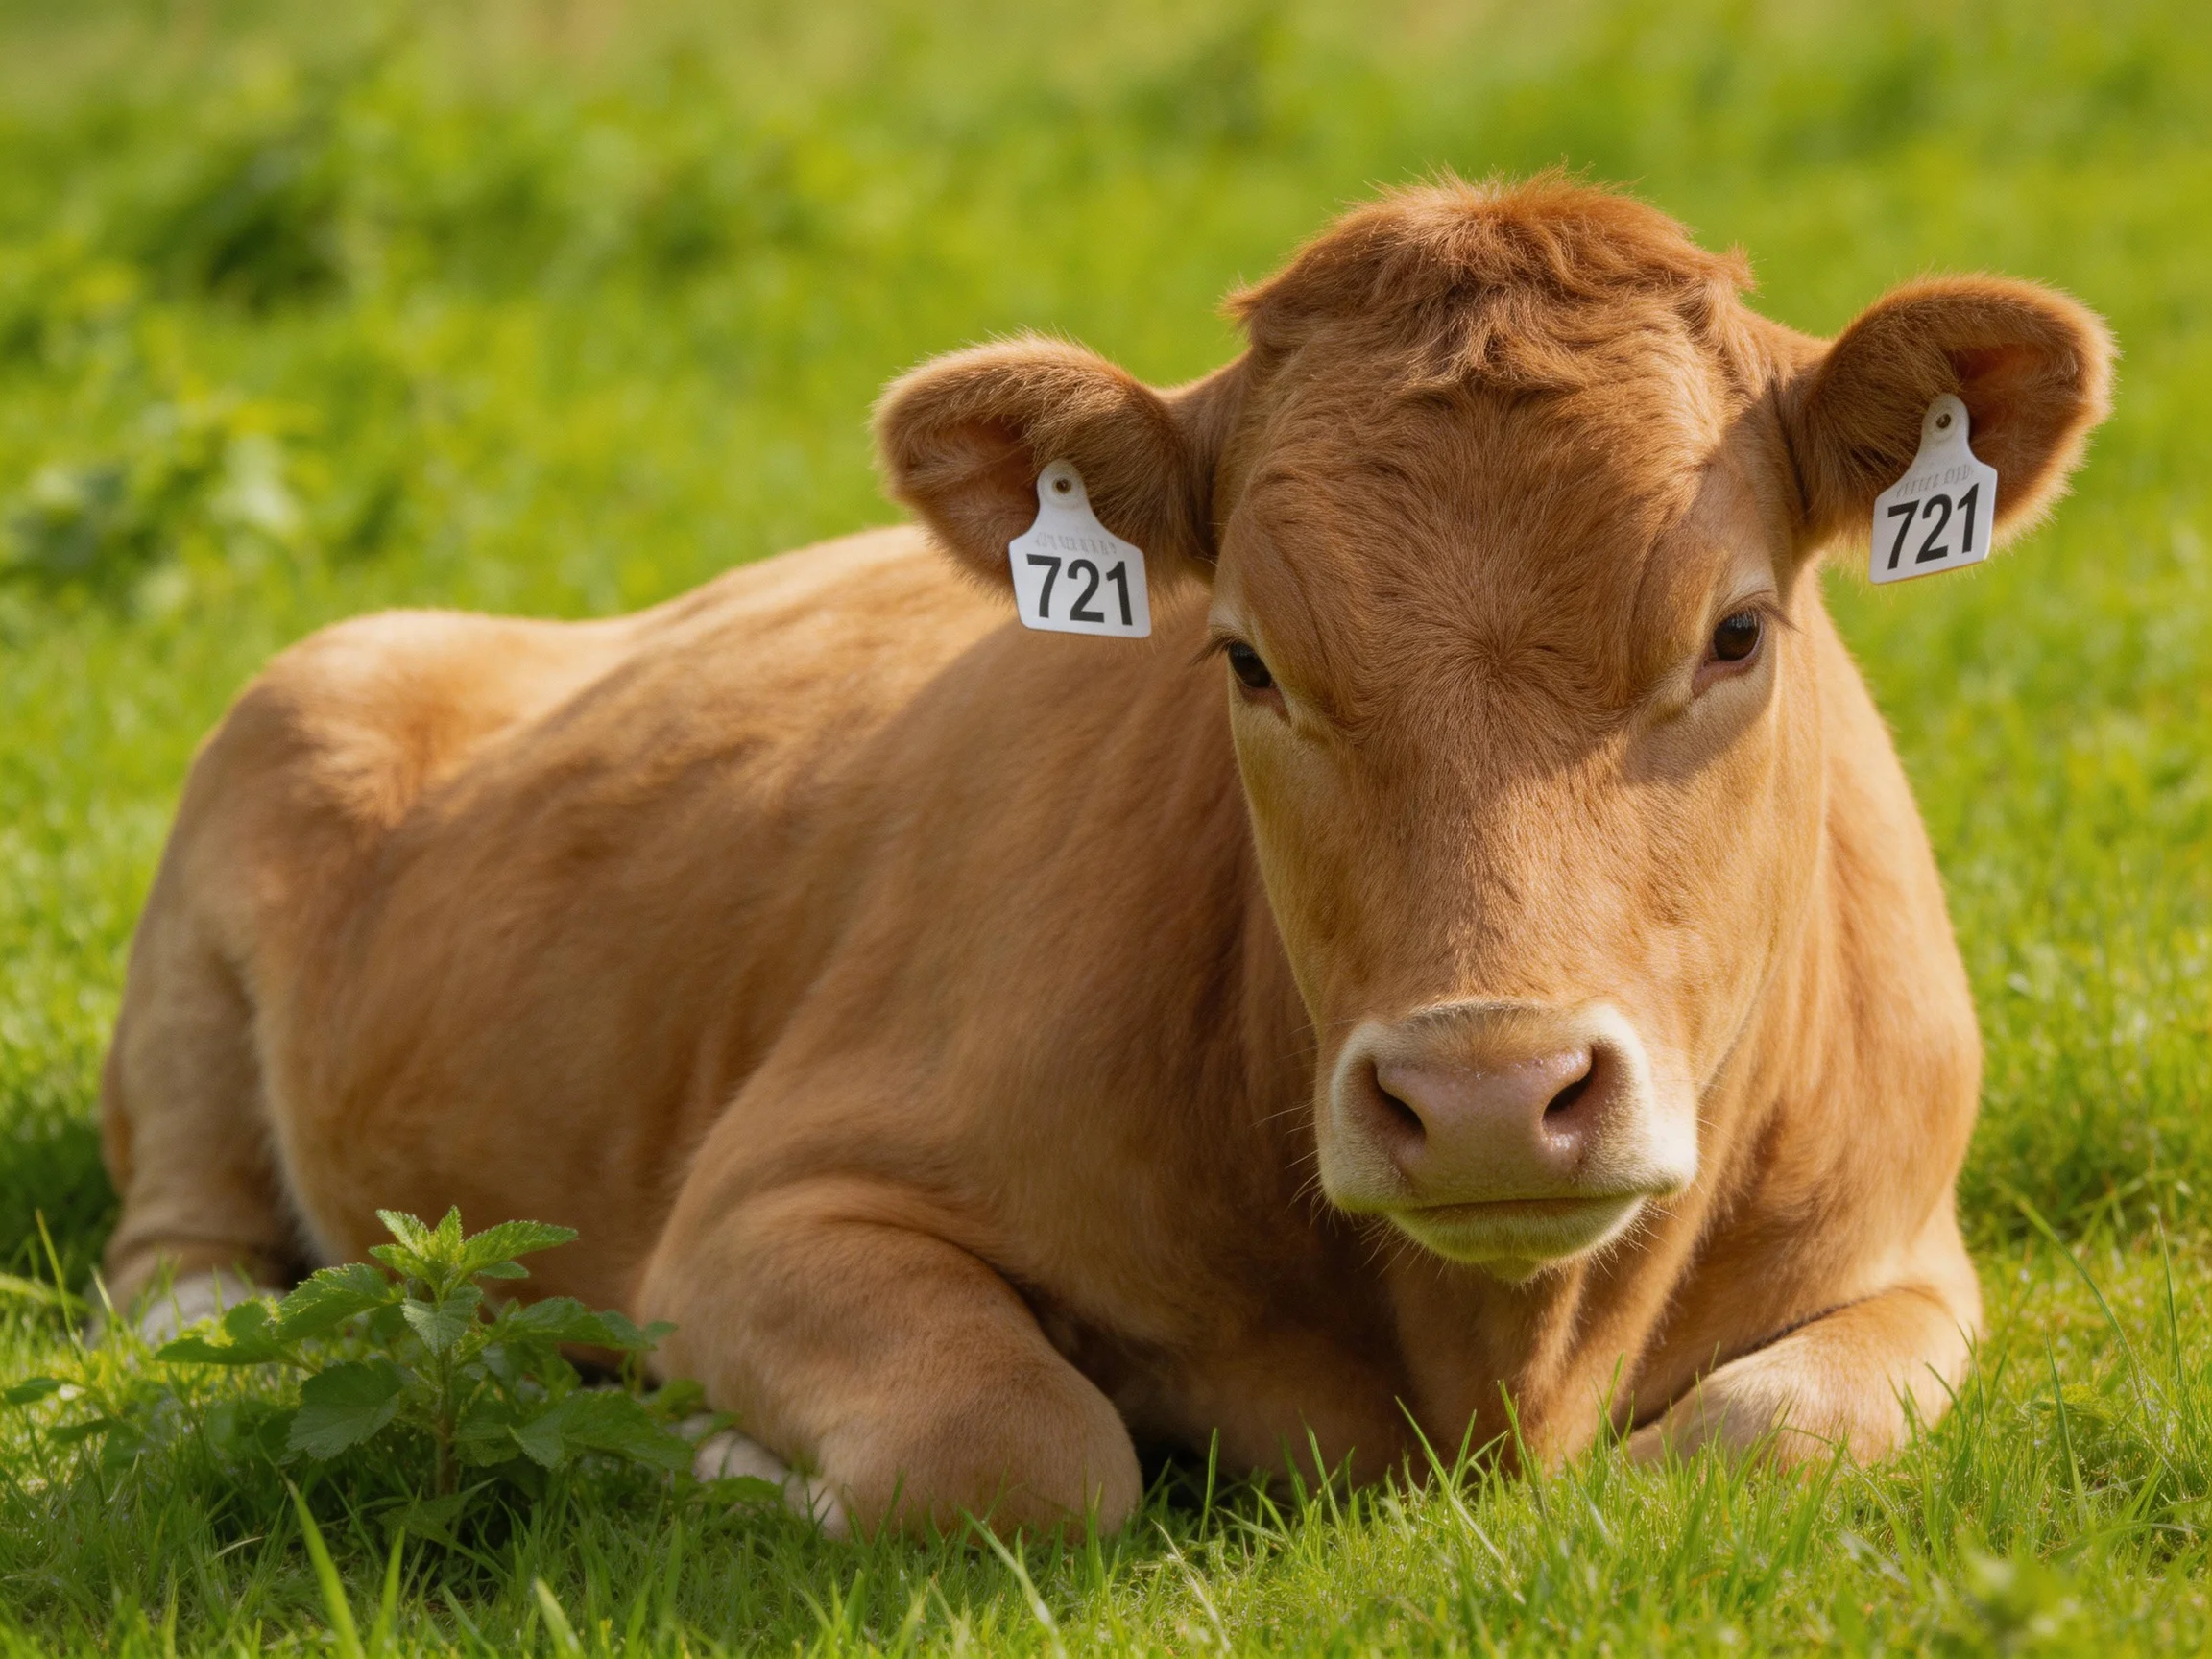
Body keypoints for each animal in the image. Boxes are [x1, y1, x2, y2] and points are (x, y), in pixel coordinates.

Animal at [98, 179, 2111, 1539]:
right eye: (1247, 658)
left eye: (1734, 630)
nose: (1482, 1093)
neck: (1501, 1358)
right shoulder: (757, 1204)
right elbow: (1013, 1446)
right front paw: (707, 1448)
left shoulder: (1911, 1247)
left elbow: (1747, 1445)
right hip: (239, 837)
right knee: (173, 1262)